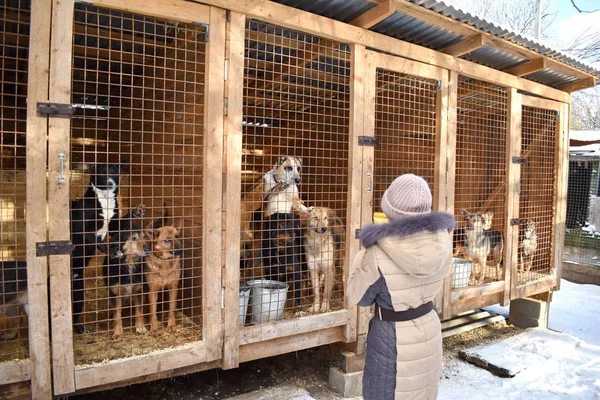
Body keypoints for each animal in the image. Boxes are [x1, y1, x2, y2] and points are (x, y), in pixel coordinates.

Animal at [71, 163, 123, 334]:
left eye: (114, 172)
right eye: (102, 172)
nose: (110, 183)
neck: (105, 199)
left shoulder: (114, 224)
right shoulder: (80, 228)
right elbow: (94, 240)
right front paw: (110, 250)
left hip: (79, 293)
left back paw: (79, 328)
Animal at [99, 205, 148, 340]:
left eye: (144, 237)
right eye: (133, 238)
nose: (148, 250)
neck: (129, 264)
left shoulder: (138, 290)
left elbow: (139, 311)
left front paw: (140, 327)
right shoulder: (115, 293)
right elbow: (117, 316)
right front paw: (117, 333)